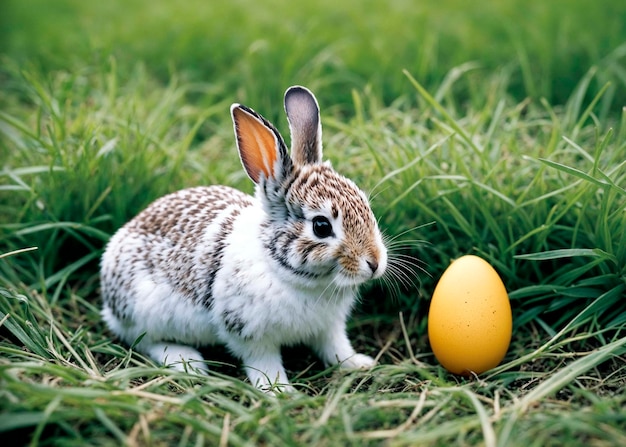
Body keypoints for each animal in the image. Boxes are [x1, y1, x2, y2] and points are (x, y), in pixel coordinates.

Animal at [100, 85, 386, 392]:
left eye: (366, 206)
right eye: (321, 226)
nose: (374, 263)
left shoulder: (329, 327)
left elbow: (335, 347)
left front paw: (359, 363)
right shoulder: (249, 334)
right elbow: (264, 363)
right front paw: (280, 392)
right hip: (146, 311)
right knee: (144, 340)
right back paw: (188, 361)